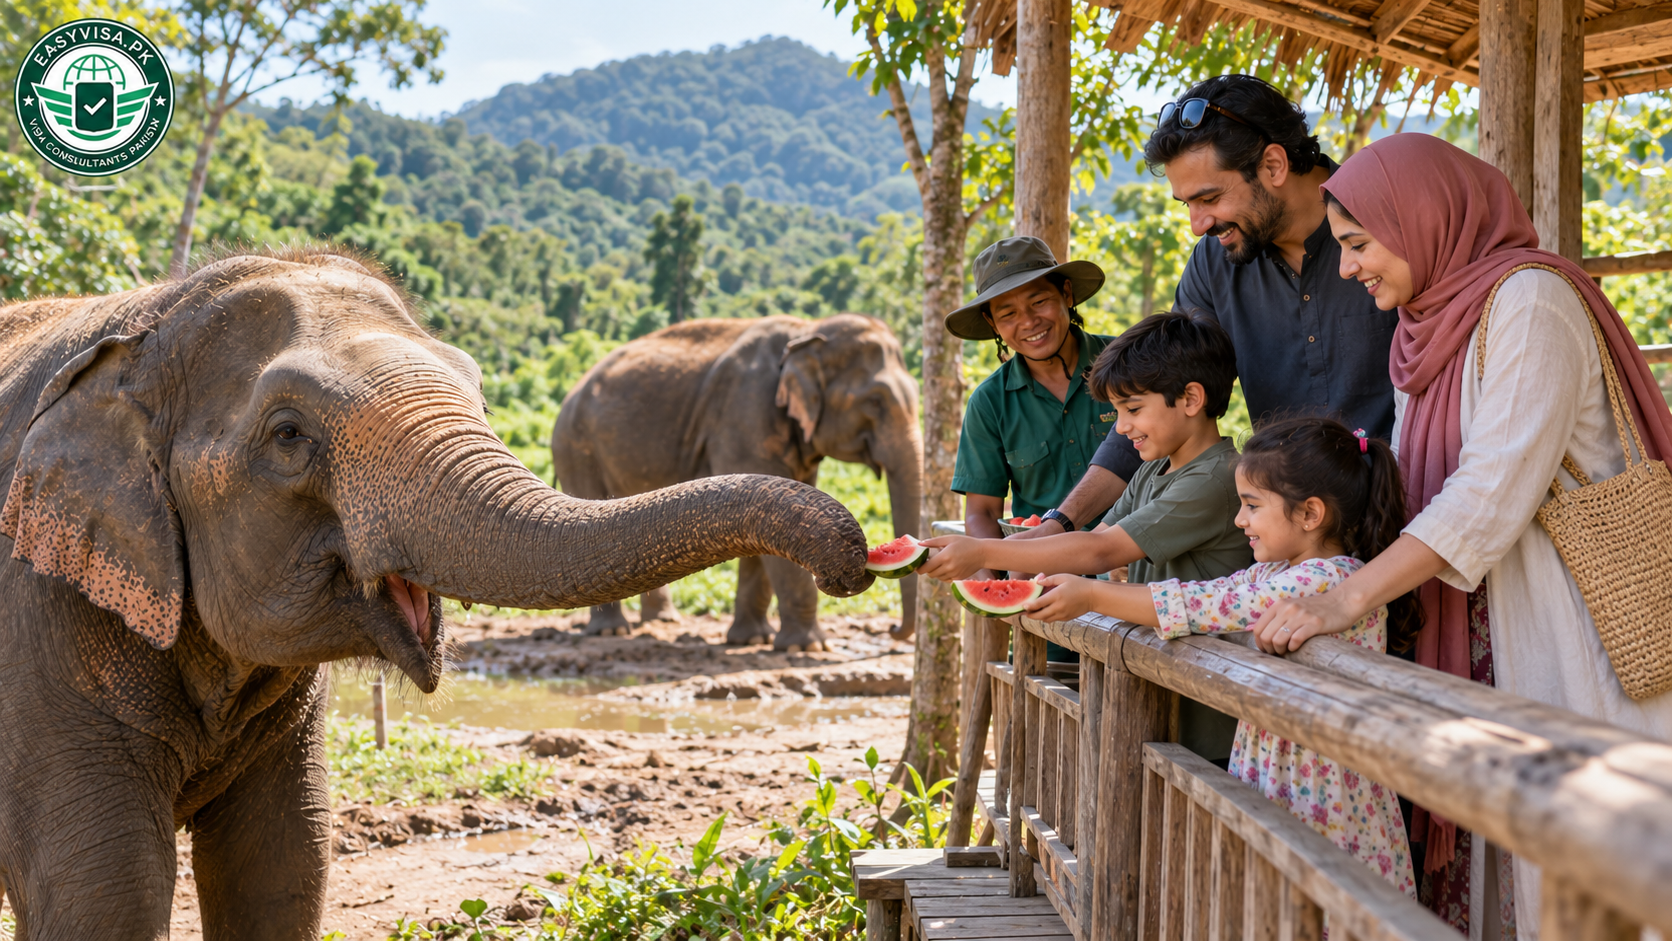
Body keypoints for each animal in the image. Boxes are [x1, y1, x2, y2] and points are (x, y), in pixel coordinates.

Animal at [0, 250, 871, 941]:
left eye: (479, 395)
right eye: (288, 435)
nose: (856, 558)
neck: (147, 322)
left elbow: (280, 868)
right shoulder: (34, 627)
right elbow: (103, 895)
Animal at [552, 314, 922, 651]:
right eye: (874, 401)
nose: (890, 630)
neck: (806, 330)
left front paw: (752, 640)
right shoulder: (746, 414)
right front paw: (807, 647)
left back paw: (662, 622)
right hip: (575, 446)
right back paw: (610, 632)